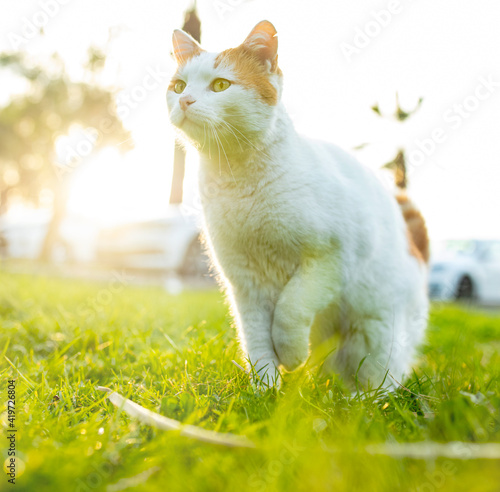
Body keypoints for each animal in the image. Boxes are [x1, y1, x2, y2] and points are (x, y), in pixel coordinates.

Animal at [166, 19, 428, 390]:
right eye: (178, 86)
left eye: (220, 85)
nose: (185, 100)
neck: (238, 180)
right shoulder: (246, 285)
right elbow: (258, 342)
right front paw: (265, 391)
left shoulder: (330, 260)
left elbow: (291, 306)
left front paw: (291, 355)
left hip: (376, 328)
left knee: (383, 378)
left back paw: (359, 399)